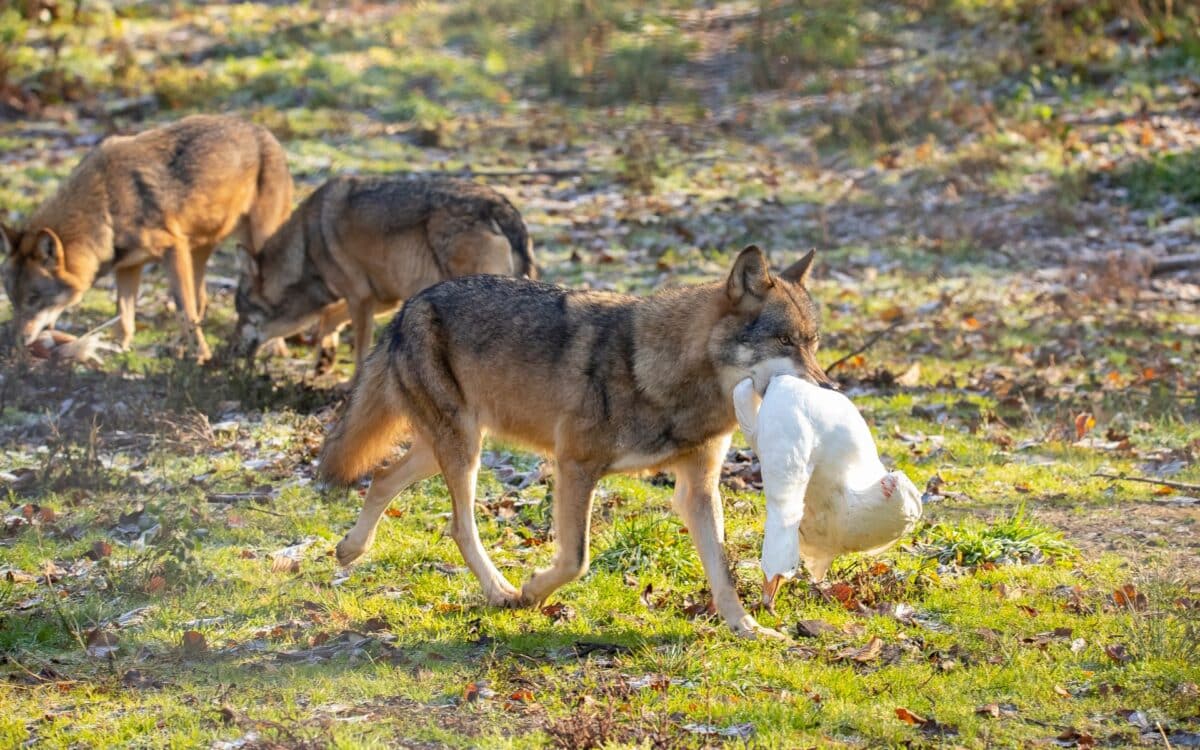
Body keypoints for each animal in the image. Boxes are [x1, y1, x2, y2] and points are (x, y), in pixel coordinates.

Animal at [1, 114, 293, 362]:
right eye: (13, 299)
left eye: (34, 298)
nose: (15, 343)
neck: (107, 205)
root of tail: (264, 131)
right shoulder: (128, 267)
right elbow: (124, 317)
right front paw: (117, 348)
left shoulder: (172, 249)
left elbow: (183, 310)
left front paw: (201, 355)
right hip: (198, 251)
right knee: (203, 300)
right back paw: (178, 349)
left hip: (253, 243)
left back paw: (275, 348)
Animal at [234, 175, 537, 375]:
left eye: (241, 313)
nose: (230, 353)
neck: (307, 245)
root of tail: (501, 207)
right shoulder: (383, 297)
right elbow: (328, 317)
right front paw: (325, 356)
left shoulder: (360, 298)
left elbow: (359, 351)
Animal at [318, 245, 828, 639]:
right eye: (785, 341)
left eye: (813, 343)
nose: (829, 389)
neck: (667, 376)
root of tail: (409, 307)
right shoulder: (574, 465)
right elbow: (576, 560)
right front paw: (530, 592)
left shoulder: (697, 489)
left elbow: (722, 571)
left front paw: (746, 628)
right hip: (463, 450)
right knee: (459, 526)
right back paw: (500, 592)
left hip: (452, 446)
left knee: (383, 476)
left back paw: (351, 549)